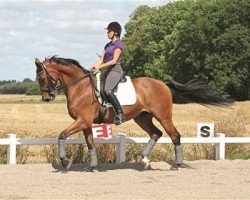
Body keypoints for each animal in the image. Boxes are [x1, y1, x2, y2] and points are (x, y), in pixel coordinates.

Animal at [34, 55, 232, 170]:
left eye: (42, 76)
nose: (46, 98)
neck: (80, 87)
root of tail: (162, 83)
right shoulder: (86, 123)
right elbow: (90, 143)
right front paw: (93, 166)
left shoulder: (82, 120)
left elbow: (62, 135)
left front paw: (64, 161)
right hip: (142, 118)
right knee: (156, 133)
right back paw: (144, 161)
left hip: (163, 116)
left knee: (174, 135)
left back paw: (176, 164)